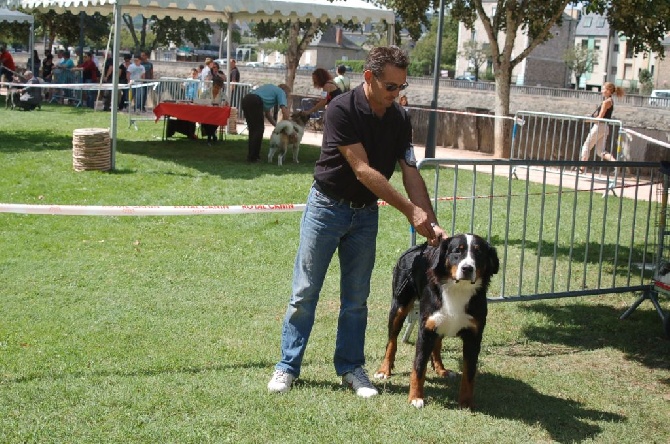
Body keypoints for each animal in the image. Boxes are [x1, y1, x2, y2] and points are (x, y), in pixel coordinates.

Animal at [378, 236, 498, 410]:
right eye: (457, 251)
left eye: (479, 252)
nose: (467, 268)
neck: (458, 290)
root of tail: (419, 247)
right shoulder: (425, 330)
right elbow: (419, 367)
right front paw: (415, 398)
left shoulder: (473, 336)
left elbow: (469, 373)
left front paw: (466, 402)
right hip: (399, 306)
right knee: (391, 341)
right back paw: (384, 370)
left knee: (437, 345)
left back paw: (441, 369)